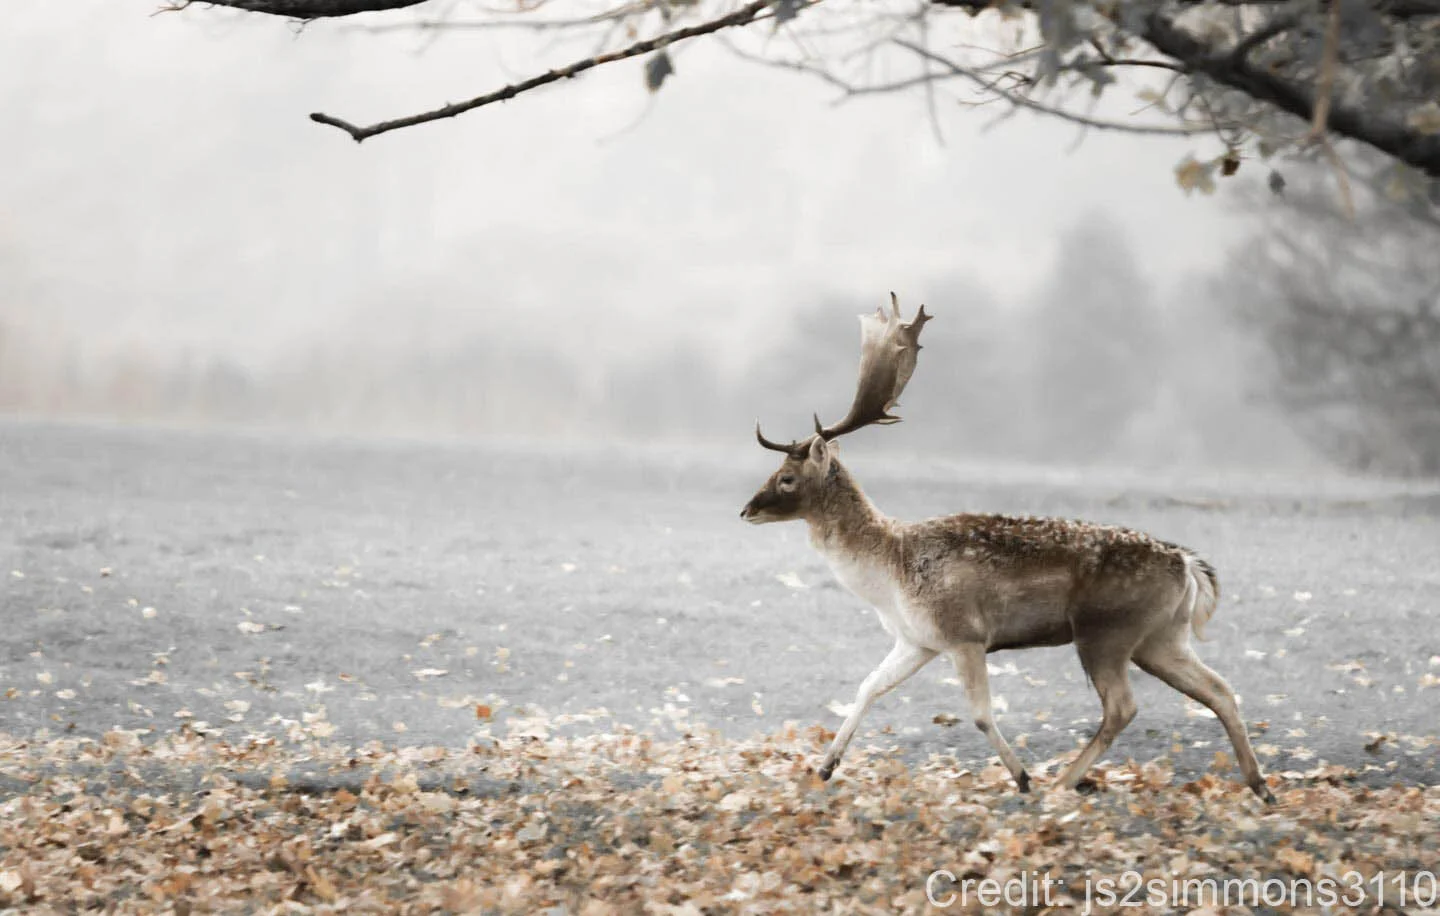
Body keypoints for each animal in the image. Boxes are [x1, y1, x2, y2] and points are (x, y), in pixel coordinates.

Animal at [739, 294, 1274, 802]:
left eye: (787, 478)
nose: (746, 510)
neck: (889, 572)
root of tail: (1187, 564)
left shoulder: (964, 633)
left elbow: (979, 713)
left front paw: (1021, 778)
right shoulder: (917, 640)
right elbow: (868, 686)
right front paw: (825, 768)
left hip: (1106, 632)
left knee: (1123, 706)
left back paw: (1062, 782)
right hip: (1161, 636)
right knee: (1220, 689)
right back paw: (1260, 785)